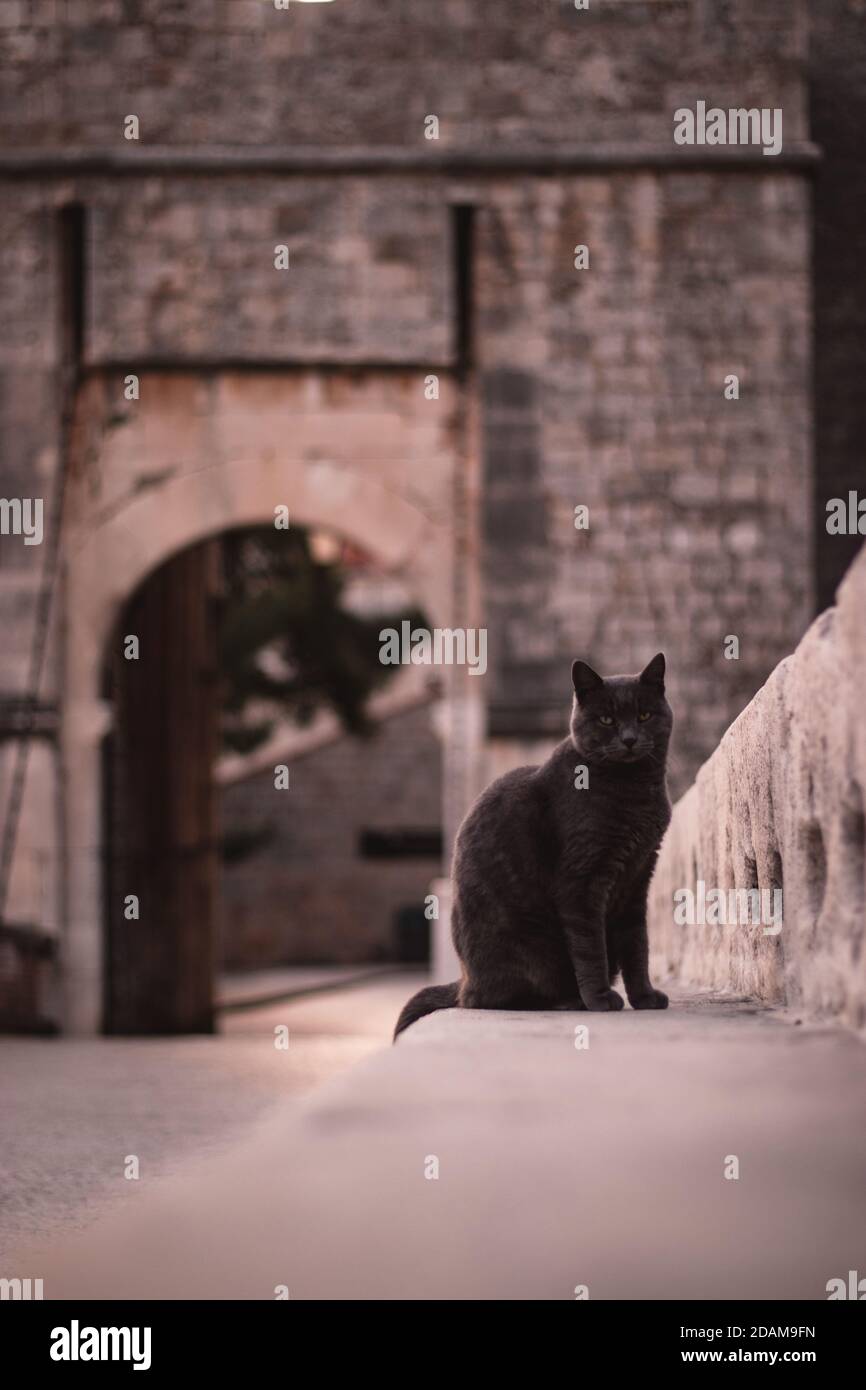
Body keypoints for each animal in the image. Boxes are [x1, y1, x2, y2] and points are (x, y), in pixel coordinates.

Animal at [397, 656, 675, 1039]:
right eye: (607, 719)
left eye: (645, 715)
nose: (630, 738)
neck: (636, 791)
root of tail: (464, 981)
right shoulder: (581, 882)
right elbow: (590, 948)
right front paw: (600, 999)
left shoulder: (638, 875)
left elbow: (638, 944)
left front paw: (645, 996)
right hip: (535, 944)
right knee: (491, 999)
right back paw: (571, 1001)